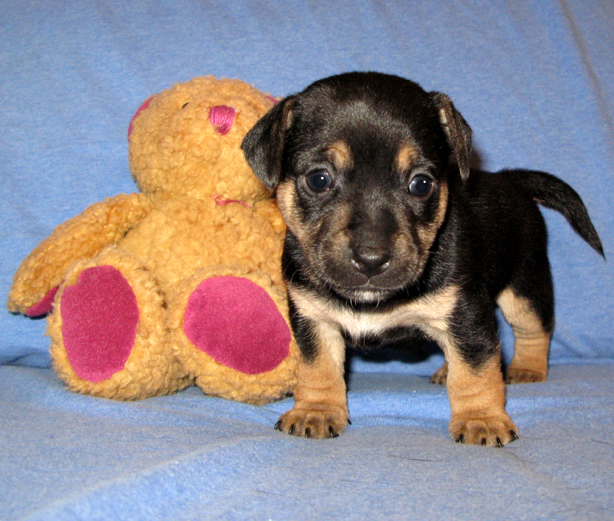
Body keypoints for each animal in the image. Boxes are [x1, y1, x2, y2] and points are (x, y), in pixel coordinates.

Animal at [242, 72, 608, 446]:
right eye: (318, 179)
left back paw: (526, 368)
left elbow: (475, 369)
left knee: (533, 330)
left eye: (421, 183)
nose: (371, 258)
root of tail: (509, 180)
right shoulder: (313, 318)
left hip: (525, 284)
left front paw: (481, 420)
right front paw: (315, 411)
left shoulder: (465, 313)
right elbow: (318, 368)